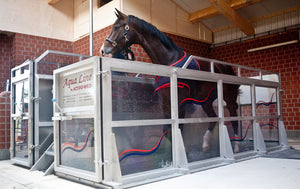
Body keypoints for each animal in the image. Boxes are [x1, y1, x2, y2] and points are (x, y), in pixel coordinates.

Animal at [102, 9, 240, 154]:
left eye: (116, 27)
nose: (104, 50)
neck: (169, 61)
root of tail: (226, 67)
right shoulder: (166, 102)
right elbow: (167, 128)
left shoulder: (180, 101)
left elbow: (178, 126)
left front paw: (181, 150)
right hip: (206, 101)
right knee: (213, 119)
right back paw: (205, 145)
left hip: (229, 98)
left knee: (234, 118)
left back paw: (236, 146)